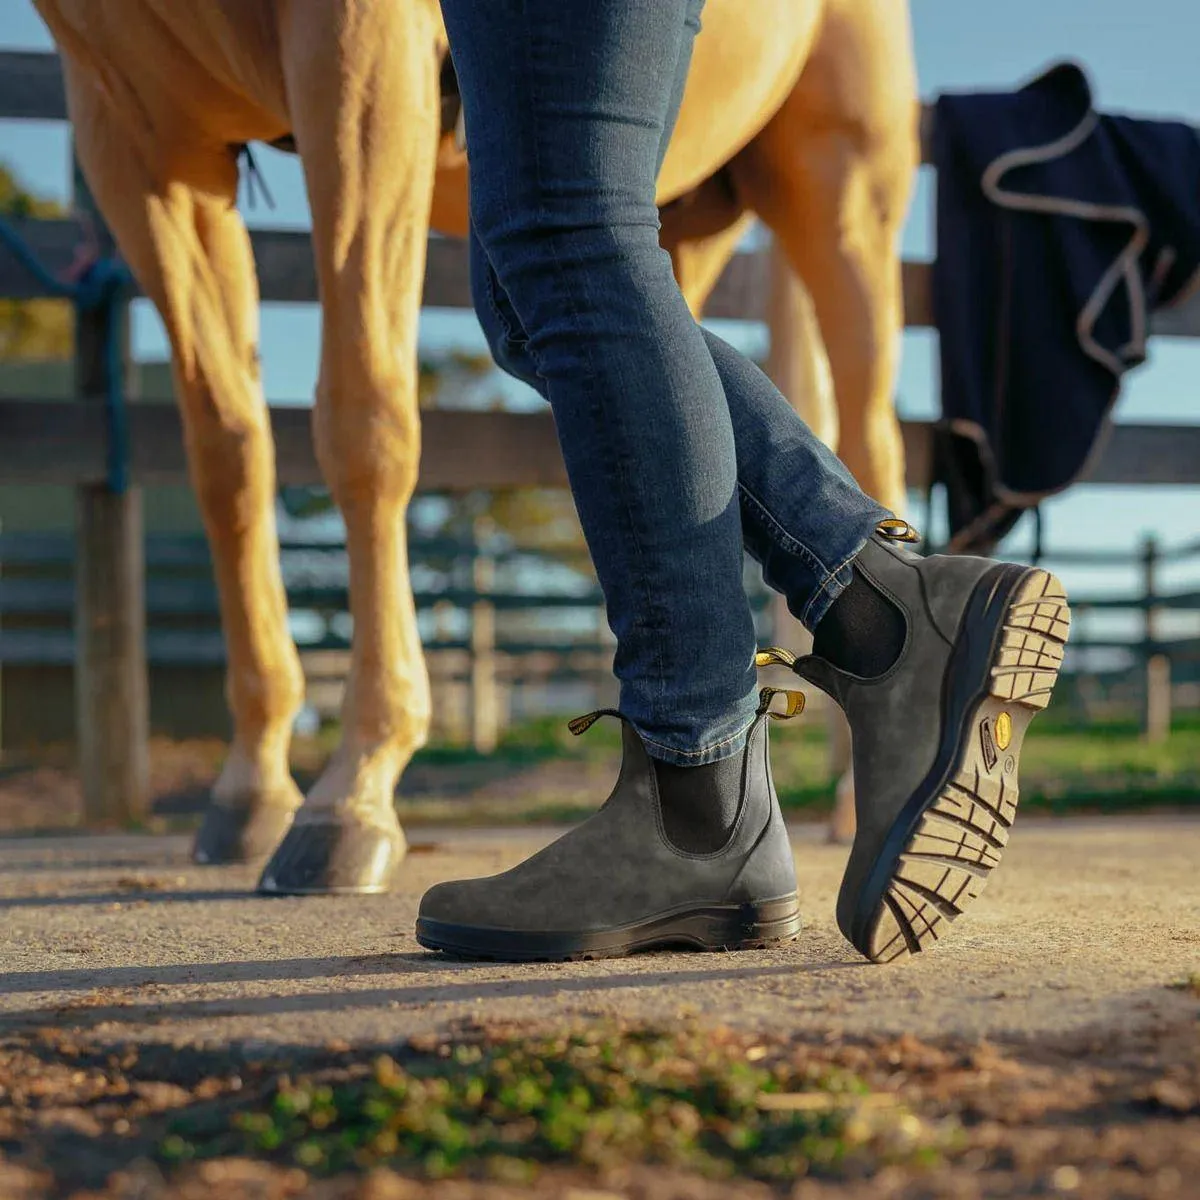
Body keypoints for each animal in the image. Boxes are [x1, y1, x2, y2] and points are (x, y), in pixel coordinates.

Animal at [35, 0, 916, 888]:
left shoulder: (359, 60)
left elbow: (363, 424)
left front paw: (353, 788)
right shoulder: (138, 129)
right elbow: (228, 456)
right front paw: (252, 786)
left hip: (839, 184)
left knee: (871, 434)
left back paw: (867, 791)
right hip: (682, 194)